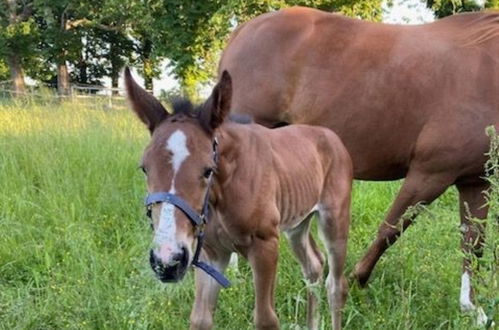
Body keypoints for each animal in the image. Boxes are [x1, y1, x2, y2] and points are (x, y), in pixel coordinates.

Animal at [125, 68, 354, 328]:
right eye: (144, 168)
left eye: (208, 170)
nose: (167, 261)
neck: (220, 198)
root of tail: (332, 136)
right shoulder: (211, 255)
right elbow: (200, 318)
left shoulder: (265, 244)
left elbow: (265, 318)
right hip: (297, 225)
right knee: (314, 265)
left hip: (334, 219)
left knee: (336, 285)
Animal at [220, 5, 499, 320]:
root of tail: (246, 29)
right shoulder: (431, 172)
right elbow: (391, 229)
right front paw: (355, 281)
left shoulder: (475, 180)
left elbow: (473, 241)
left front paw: (472, 310)